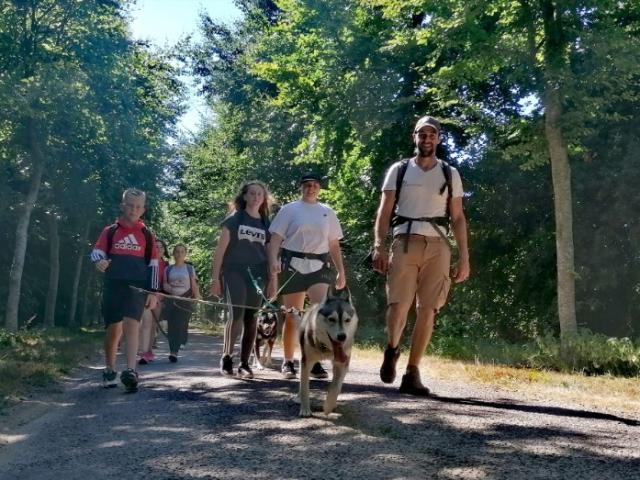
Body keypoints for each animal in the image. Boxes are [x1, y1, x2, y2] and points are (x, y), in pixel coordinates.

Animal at [298, 286, 358, 418]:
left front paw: (328, 407)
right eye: (331, 319)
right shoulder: (306, 362)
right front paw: (305, 409)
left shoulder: (342, 364)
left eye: (347, 320)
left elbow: (335, 387)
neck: (326, 349)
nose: (342, 336)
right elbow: (305, 387)